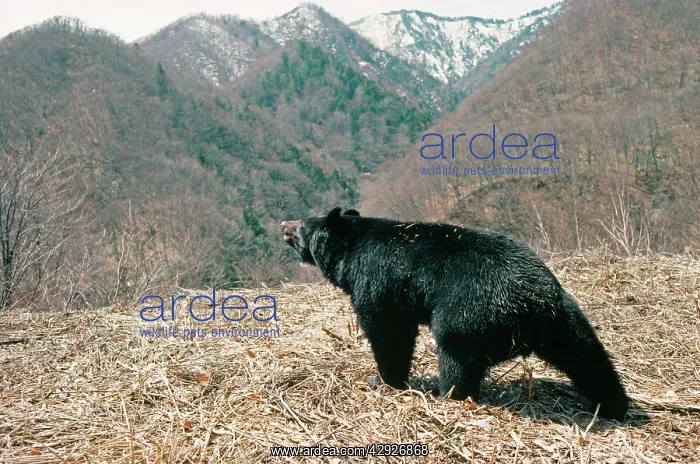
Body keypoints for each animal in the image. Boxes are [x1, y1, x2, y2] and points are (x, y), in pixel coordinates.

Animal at [281, 207, 629, 420]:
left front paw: (381, 380)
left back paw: (445, 393)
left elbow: (388, 331)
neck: (350, 248)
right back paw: (614, 405)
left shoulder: (377, 281)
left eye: (302, 224)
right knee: (588, 359)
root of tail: (537, 301)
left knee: (457, 357)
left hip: (469, 315)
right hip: (566, 322)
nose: (283, 224)